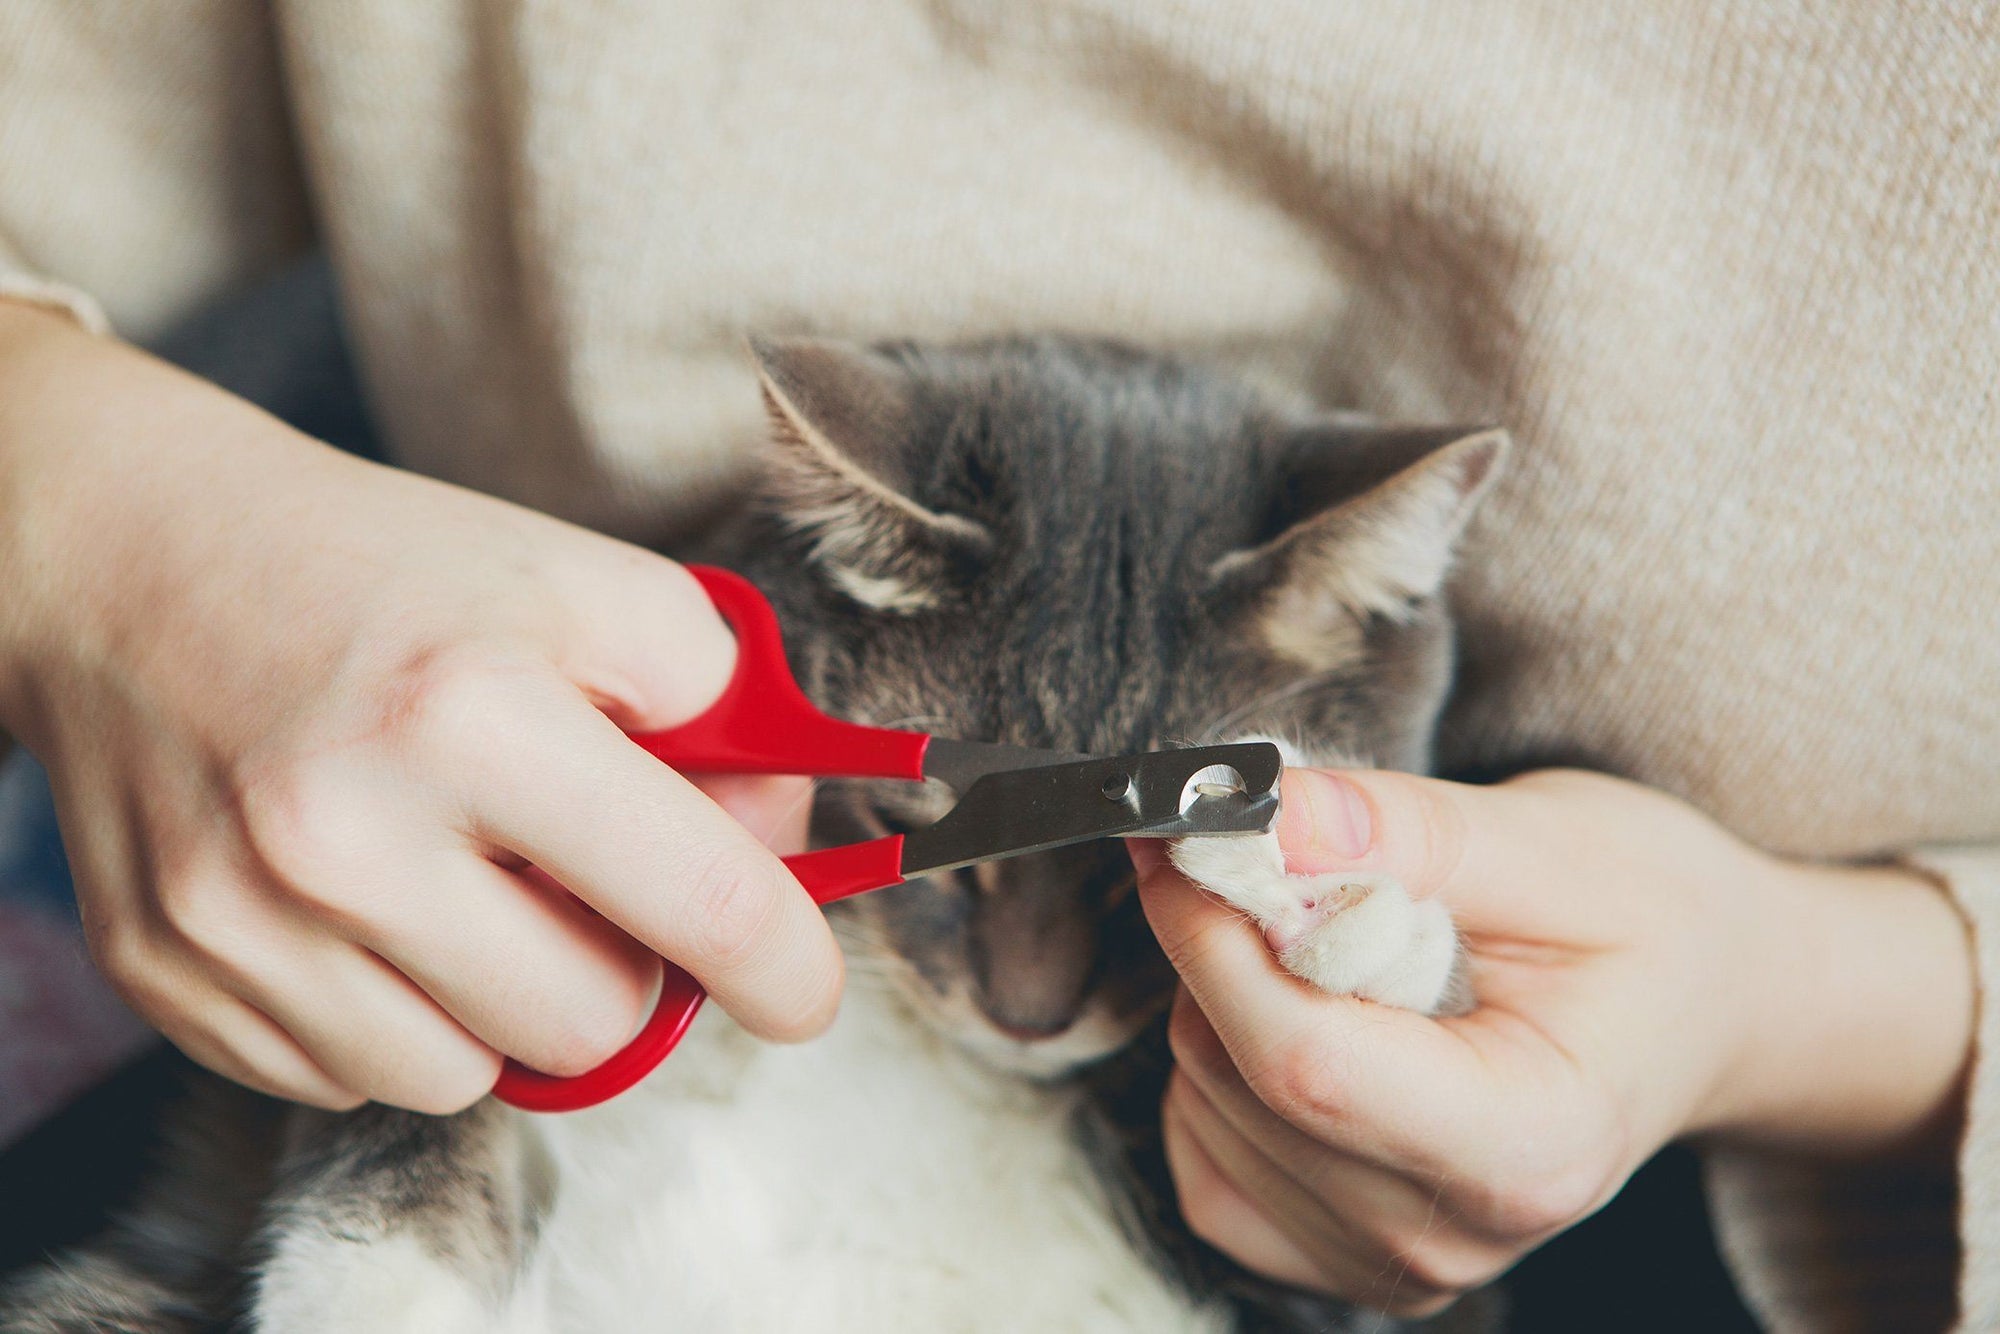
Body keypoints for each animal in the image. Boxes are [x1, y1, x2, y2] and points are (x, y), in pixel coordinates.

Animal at [0, 334, 1504, 1334]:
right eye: (908, 813)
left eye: (1129, 893)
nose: (1024, 1015)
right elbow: (416, 1088)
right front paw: (367, 1291)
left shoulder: (1323, 1297)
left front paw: (1330, 897)